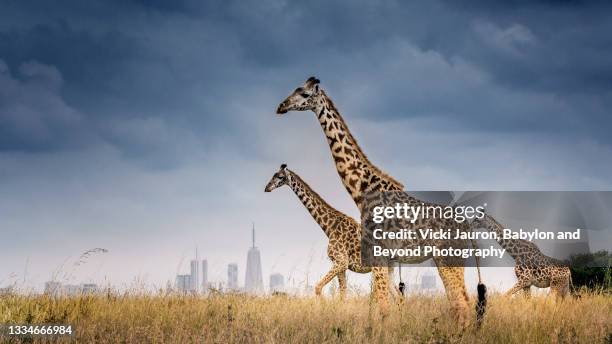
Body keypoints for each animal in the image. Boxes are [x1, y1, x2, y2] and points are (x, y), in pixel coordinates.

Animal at [262, 163, 396, 298]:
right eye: (273, 175)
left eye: (280, 176)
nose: (267, 188)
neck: (330, 227)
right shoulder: (342, 266)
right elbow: (342, 293)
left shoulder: (340, 261)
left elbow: (318, 287)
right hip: (388, 269)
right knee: (397, 295)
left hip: (379, 268)